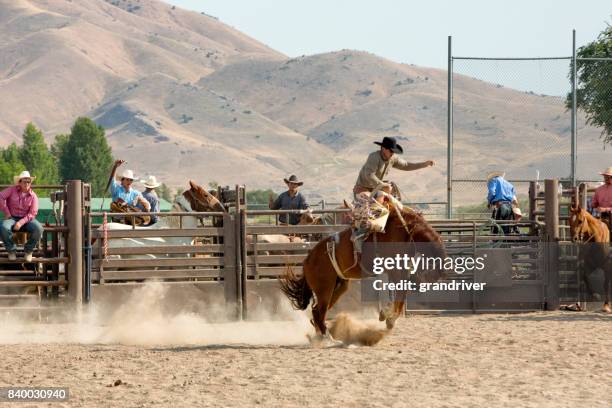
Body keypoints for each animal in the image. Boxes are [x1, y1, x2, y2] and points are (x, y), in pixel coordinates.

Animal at [280, 204, 448, 342]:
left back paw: (320, 336)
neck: (407, 231)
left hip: (338, 286)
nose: (418, 284)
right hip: (324, 289)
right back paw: (329, 338)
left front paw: (386, 315)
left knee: (317, 312)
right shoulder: (395, 269)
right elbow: (399, 293)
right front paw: (389, 318)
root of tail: (307, 260)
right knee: (318, 312)